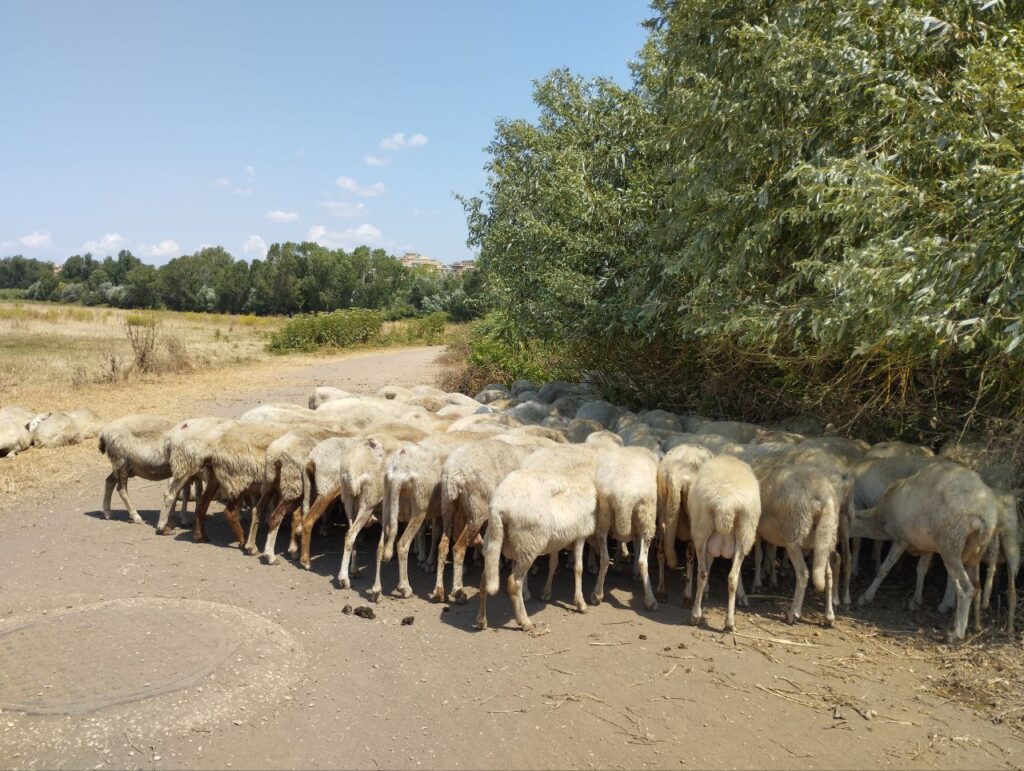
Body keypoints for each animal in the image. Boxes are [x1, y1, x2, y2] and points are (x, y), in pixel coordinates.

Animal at [476, 466, 598, 631]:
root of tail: (498, 507)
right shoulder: (580, 534)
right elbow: (579, 568)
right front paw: (580, 603)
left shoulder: (556, 541)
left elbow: (553, 564)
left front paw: (546, 592)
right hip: (528, 544)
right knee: (514, 583)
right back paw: (524, 622)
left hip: (497, 542)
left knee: (484, 580)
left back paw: (481, 621)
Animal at [592, 446, 660, 611]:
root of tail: (624, 495)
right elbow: (636, 548)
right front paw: (634, 572)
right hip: (646, 517)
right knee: (643, 561)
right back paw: (651, 601)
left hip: (604, 515)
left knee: (604, 558)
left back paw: (597, 595)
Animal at [688, 455, 761, 630]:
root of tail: (725, 503)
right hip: (743, 533)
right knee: (725, 575)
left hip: (704, 530)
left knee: (708, 573)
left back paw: (706, 617)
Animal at [851, 462, 998, 641]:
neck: (879, 518)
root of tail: (985, 514)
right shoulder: (926, 545)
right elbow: (921, 570)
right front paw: (915, 601)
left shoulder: (901, 539)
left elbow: (884, 569)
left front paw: (866, 596)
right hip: (974, 551)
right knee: (977, 586)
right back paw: (975, 625)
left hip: (951, 543)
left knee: (966, 588)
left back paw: (956, 633)